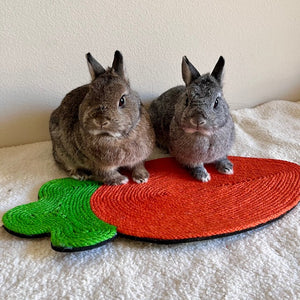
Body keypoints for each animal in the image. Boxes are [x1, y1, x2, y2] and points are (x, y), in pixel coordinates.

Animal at [49, 51, 155, 185]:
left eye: (122, 100)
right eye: (89, 96)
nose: (101, 121)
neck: (116, 138)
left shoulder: (139, 157)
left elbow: (139, 165)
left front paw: (141, 177)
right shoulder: (99, 165)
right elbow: (105, 174)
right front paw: (120, 180)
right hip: (63, 153)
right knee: (68, 166)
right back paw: (81, 174)